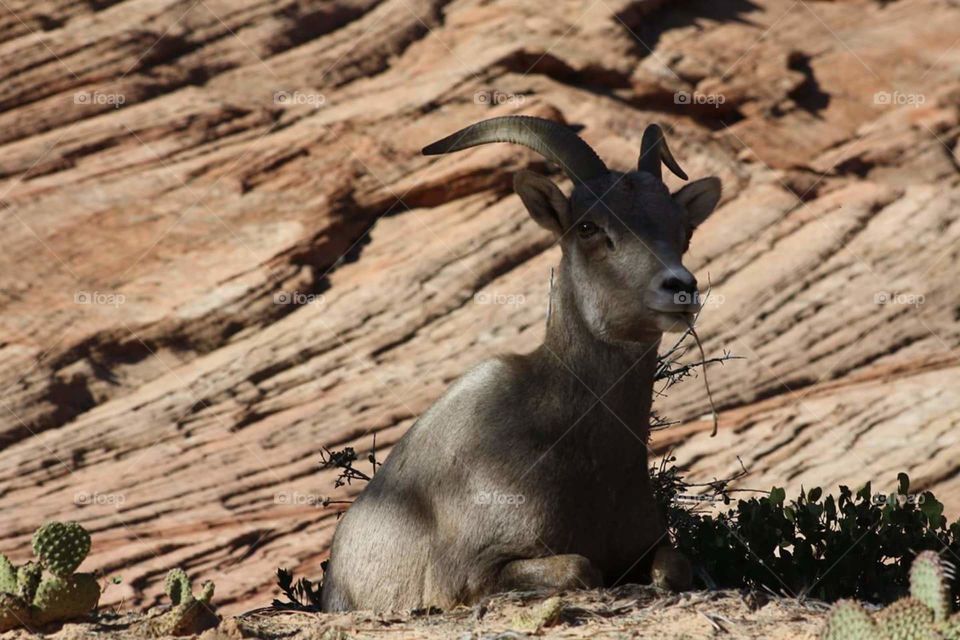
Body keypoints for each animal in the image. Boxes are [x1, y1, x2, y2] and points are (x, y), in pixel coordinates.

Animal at [321, 115, 722, 612]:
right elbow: (582, 568)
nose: (679, 288)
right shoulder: (475, 574)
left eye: (684, 228)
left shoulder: (648, 547)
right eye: (588, 227)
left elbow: (674, 567)